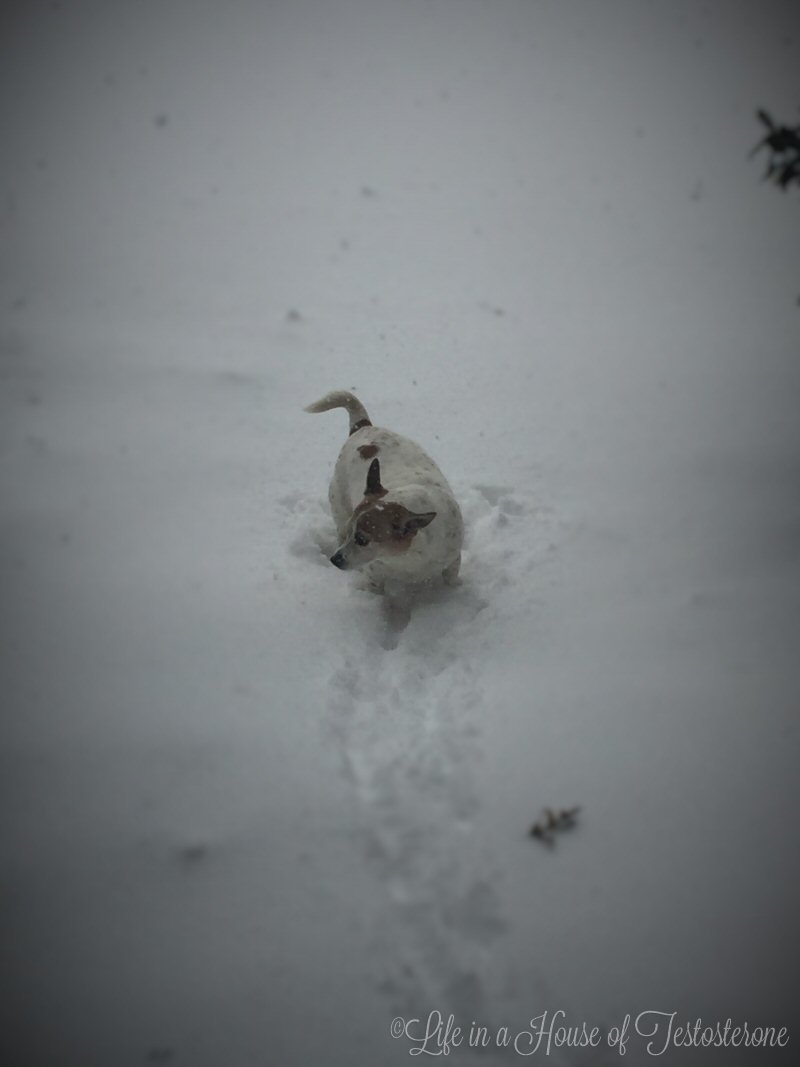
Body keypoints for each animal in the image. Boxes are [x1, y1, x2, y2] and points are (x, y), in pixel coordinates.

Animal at [305, 392, 462, 593]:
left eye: (362, 539)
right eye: (351, 532)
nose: (335, 559)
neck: (407, 557)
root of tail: (363, 427)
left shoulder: (453, 561)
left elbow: (450, 578)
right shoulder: (374, 574)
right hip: (339, 505)